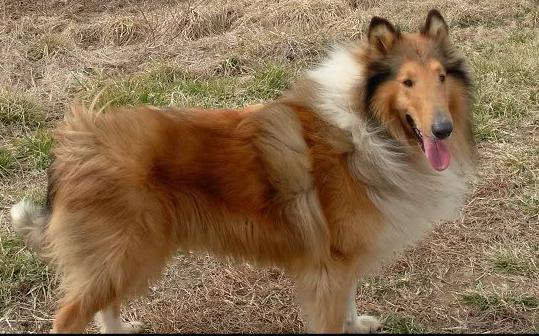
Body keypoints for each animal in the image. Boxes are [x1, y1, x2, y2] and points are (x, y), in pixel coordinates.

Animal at [10, 9, 476, 332]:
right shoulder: (328, 269)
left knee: (105, 303)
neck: (367, 126)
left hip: (127, 254)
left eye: (440, 76)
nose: (443, 129)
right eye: (407, 82)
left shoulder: (341, 260)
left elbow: (350, 304)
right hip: (123, 250)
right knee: (69, 316)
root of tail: (75, 142)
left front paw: (358, 324)